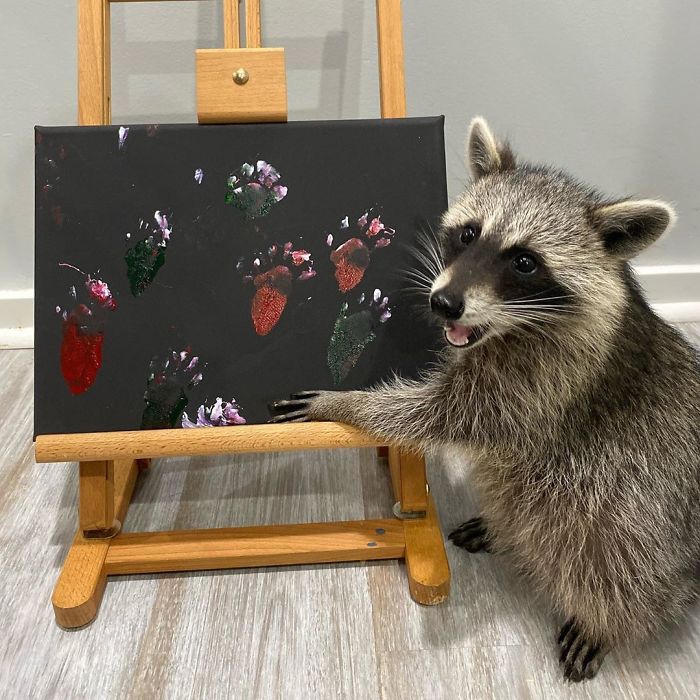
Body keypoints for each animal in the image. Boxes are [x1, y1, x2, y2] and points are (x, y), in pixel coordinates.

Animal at [270, 117, 700, 682]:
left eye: (524, 261)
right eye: (469, 233)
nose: (443, 302)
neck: (508, 330)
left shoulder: (545, 379)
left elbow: (440, 415)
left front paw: (346, 404)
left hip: (652, 503)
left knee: (618, 545)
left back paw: (609, 618)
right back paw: (506, 528)